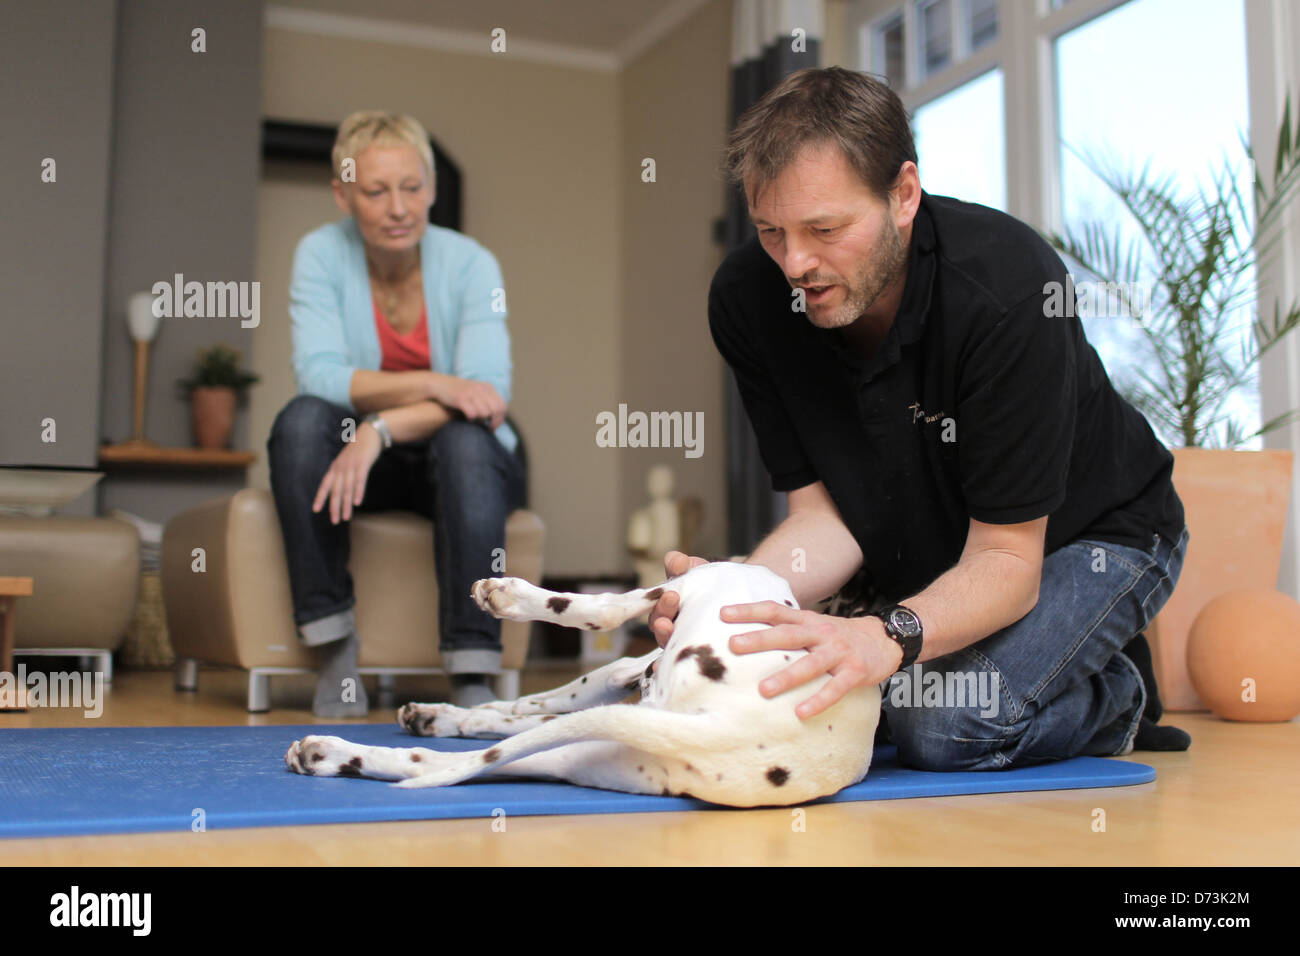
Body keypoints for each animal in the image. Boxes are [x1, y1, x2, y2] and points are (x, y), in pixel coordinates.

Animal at [284, 561, 883, 806]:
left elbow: (596, 613)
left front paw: (509, 597)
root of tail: (731, 727)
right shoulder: (615, 682)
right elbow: (524, 704)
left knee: (599, 613)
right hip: (588, 749)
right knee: (451, 760)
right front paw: (447, 715)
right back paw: (336, 751)